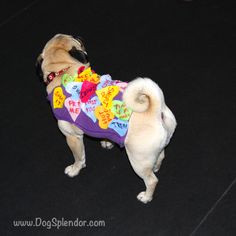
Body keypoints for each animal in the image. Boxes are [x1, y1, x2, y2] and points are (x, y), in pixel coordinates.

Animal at [36, 33, 176, 203]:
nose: (79, 37)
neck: (63, 69)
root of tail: (155, 110)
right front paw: (106, 143)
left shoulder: (72, 137)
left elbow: (79, 157)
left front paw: (75, 169)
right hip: (153, 151)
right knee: (161, 156)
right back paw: (156, 166)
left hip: (138, 159)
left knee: (151, 180)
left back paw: (146, 197)